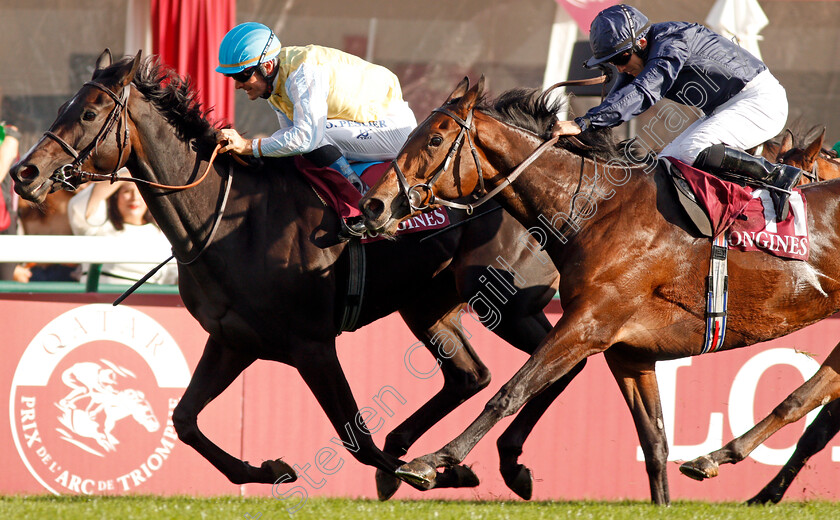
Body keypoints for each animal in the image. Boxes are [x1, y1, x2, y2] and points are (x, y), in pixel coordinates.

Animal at [9, 50, 576, 498]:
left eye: (87, 112)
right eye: (60, 108)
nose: (23, 174)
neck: (227, 221)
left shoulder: (312, 345)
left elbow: (357, 440)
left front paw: (435, 470)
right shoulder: (232, 341)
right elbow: (185, 420)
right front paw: (271, 469)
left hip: (506, 301)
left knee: (554, 364)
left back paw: (507, 462)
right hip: (428, 305)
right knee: (473, 375)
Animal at [360, 76, 840, 504]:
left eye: (435, 140)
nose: (372, 205)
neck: (597, 208)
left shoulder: (586, 326)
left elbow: (511, 391)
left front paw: (434, 460)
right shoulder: (628, 352)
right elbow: (654, 440)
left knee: (807, 397)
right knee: (814, 394)